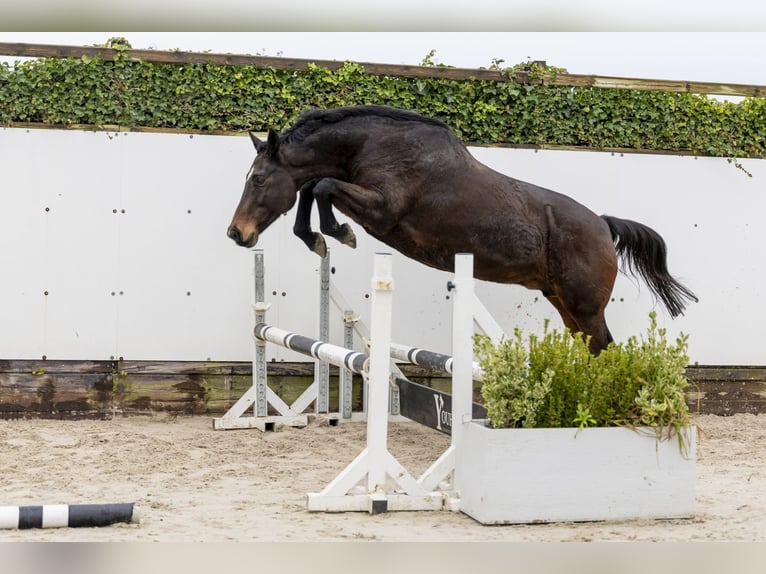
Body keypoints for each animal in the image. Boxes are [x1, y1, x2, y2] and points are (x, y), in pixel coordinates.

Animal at [227, 105, 697, 354]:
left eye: (259, 180)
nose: (237, 233)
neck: (374, 146)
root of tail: (602, 224)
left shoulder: (382, 210)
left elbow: (321, 185)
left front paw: (338, 234)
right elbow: (311, 187)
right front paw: (317, 240)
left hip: (584, 307)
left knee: (603, 349)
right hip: (563, 302)